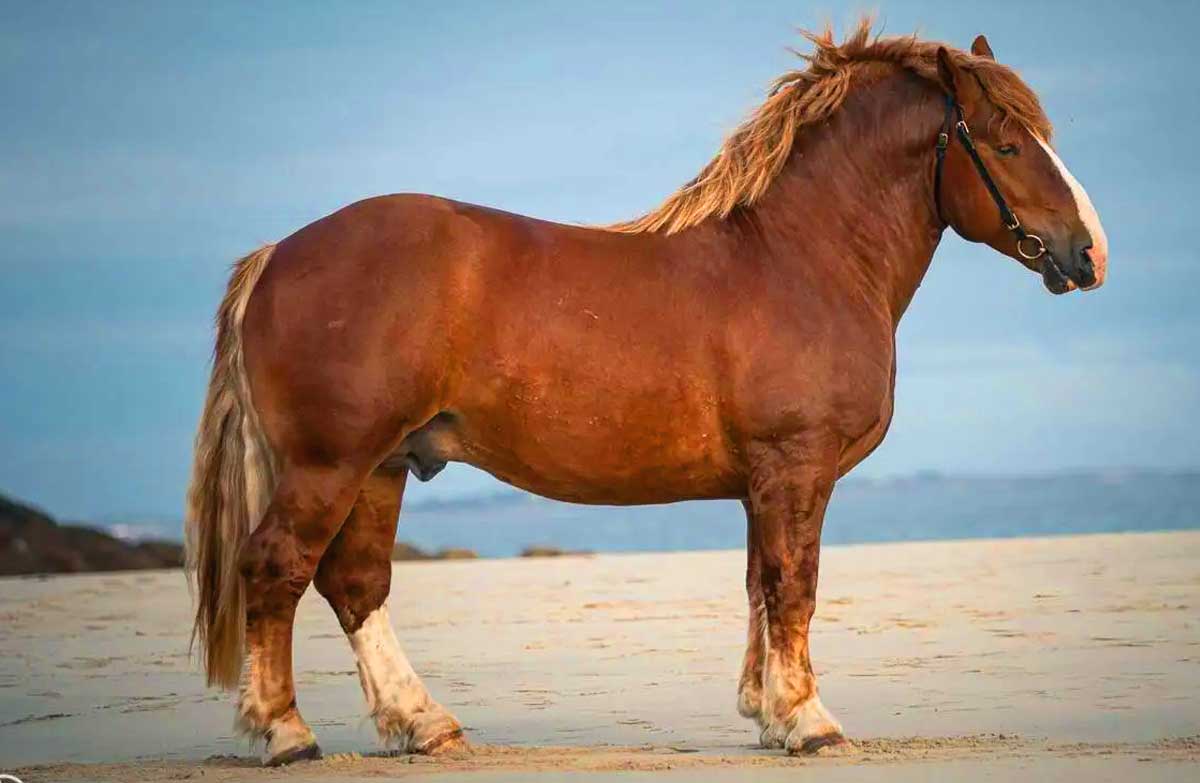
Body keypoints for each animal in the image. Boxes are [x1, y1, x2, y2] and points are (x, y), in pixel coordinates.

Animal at [185, 21, 1108, 765]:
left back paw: (424, 724)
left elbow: (760, 585)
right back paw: (285, 732)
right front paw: (810, 720)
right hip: (329, 465)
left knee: (357, 584)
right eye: (1008, 143)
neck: (802, 255)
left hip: (380, 466)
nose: (1088, 252)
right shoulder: (796, 465)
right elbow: (795, 584)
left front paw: (768, 714)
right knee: (277, 568)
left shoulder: (764, 482)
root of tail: (279, 253)